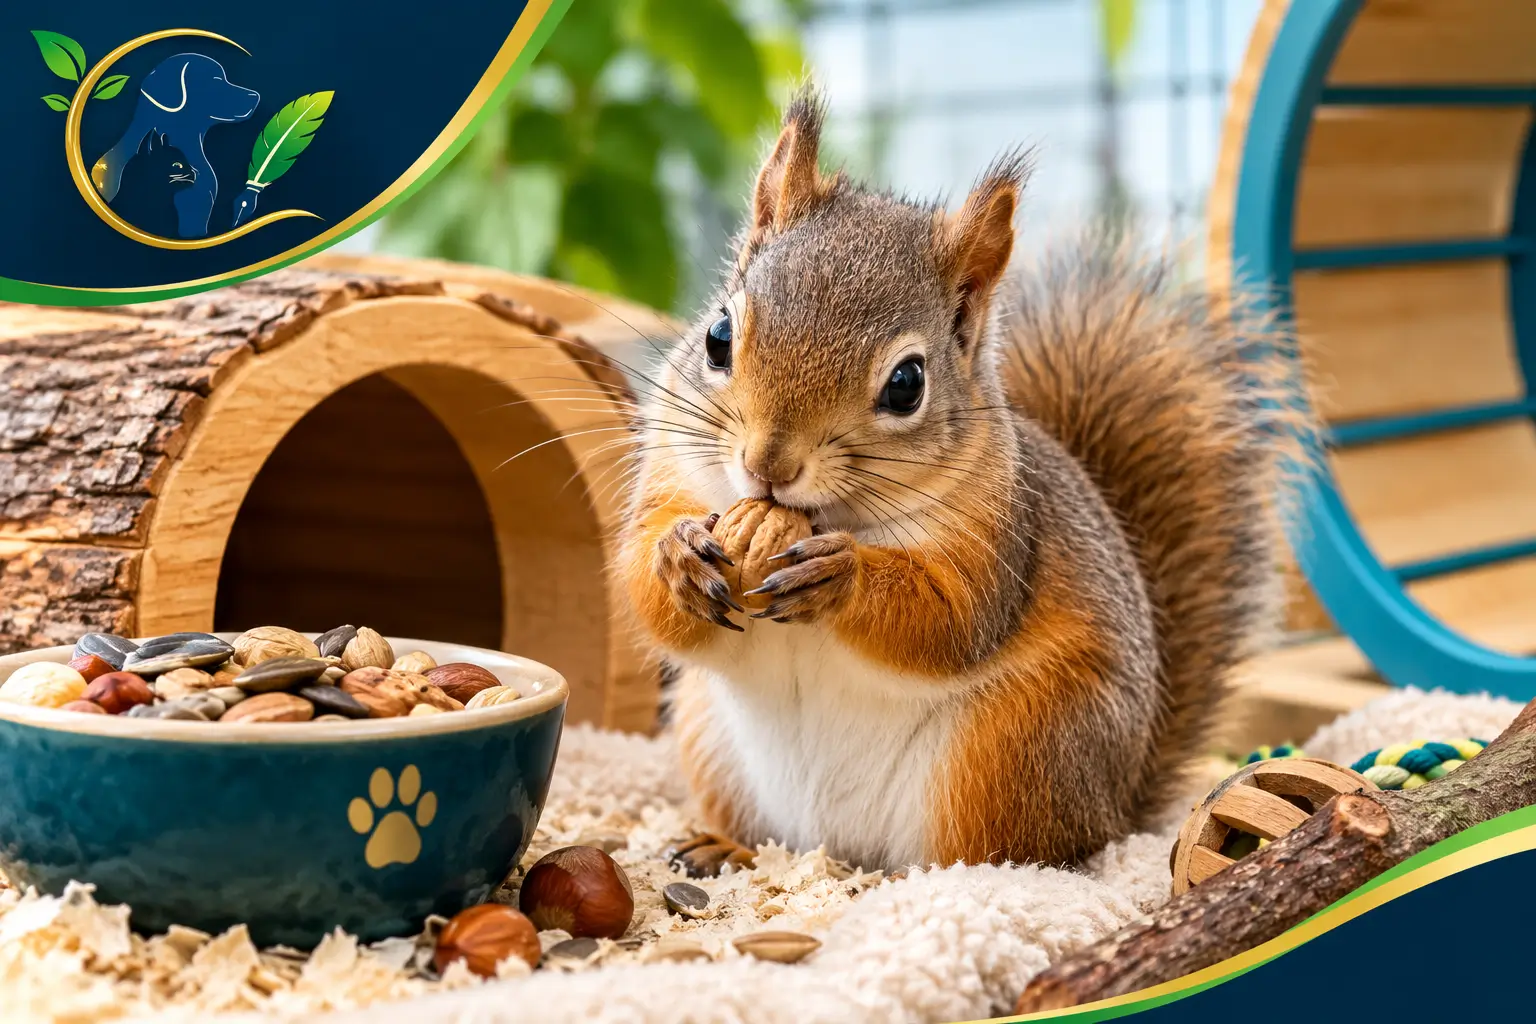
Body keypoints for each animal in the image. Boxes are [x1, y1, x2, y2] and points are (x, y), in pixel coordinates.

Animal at [618, 89, 1309, 876]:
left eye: (907, 384)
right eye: (718, 336)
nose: (768, 466)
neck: (830, 514)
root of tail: (1116, 804)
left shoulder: (997, 534)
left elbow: (952, 624)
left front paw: (840, 576)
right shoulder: (673, 471)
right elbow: (644, 590)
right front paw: (677, 557)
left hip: (1010, 751)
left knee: (1001, 852)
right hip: (710, 737)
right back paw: (721, 847)